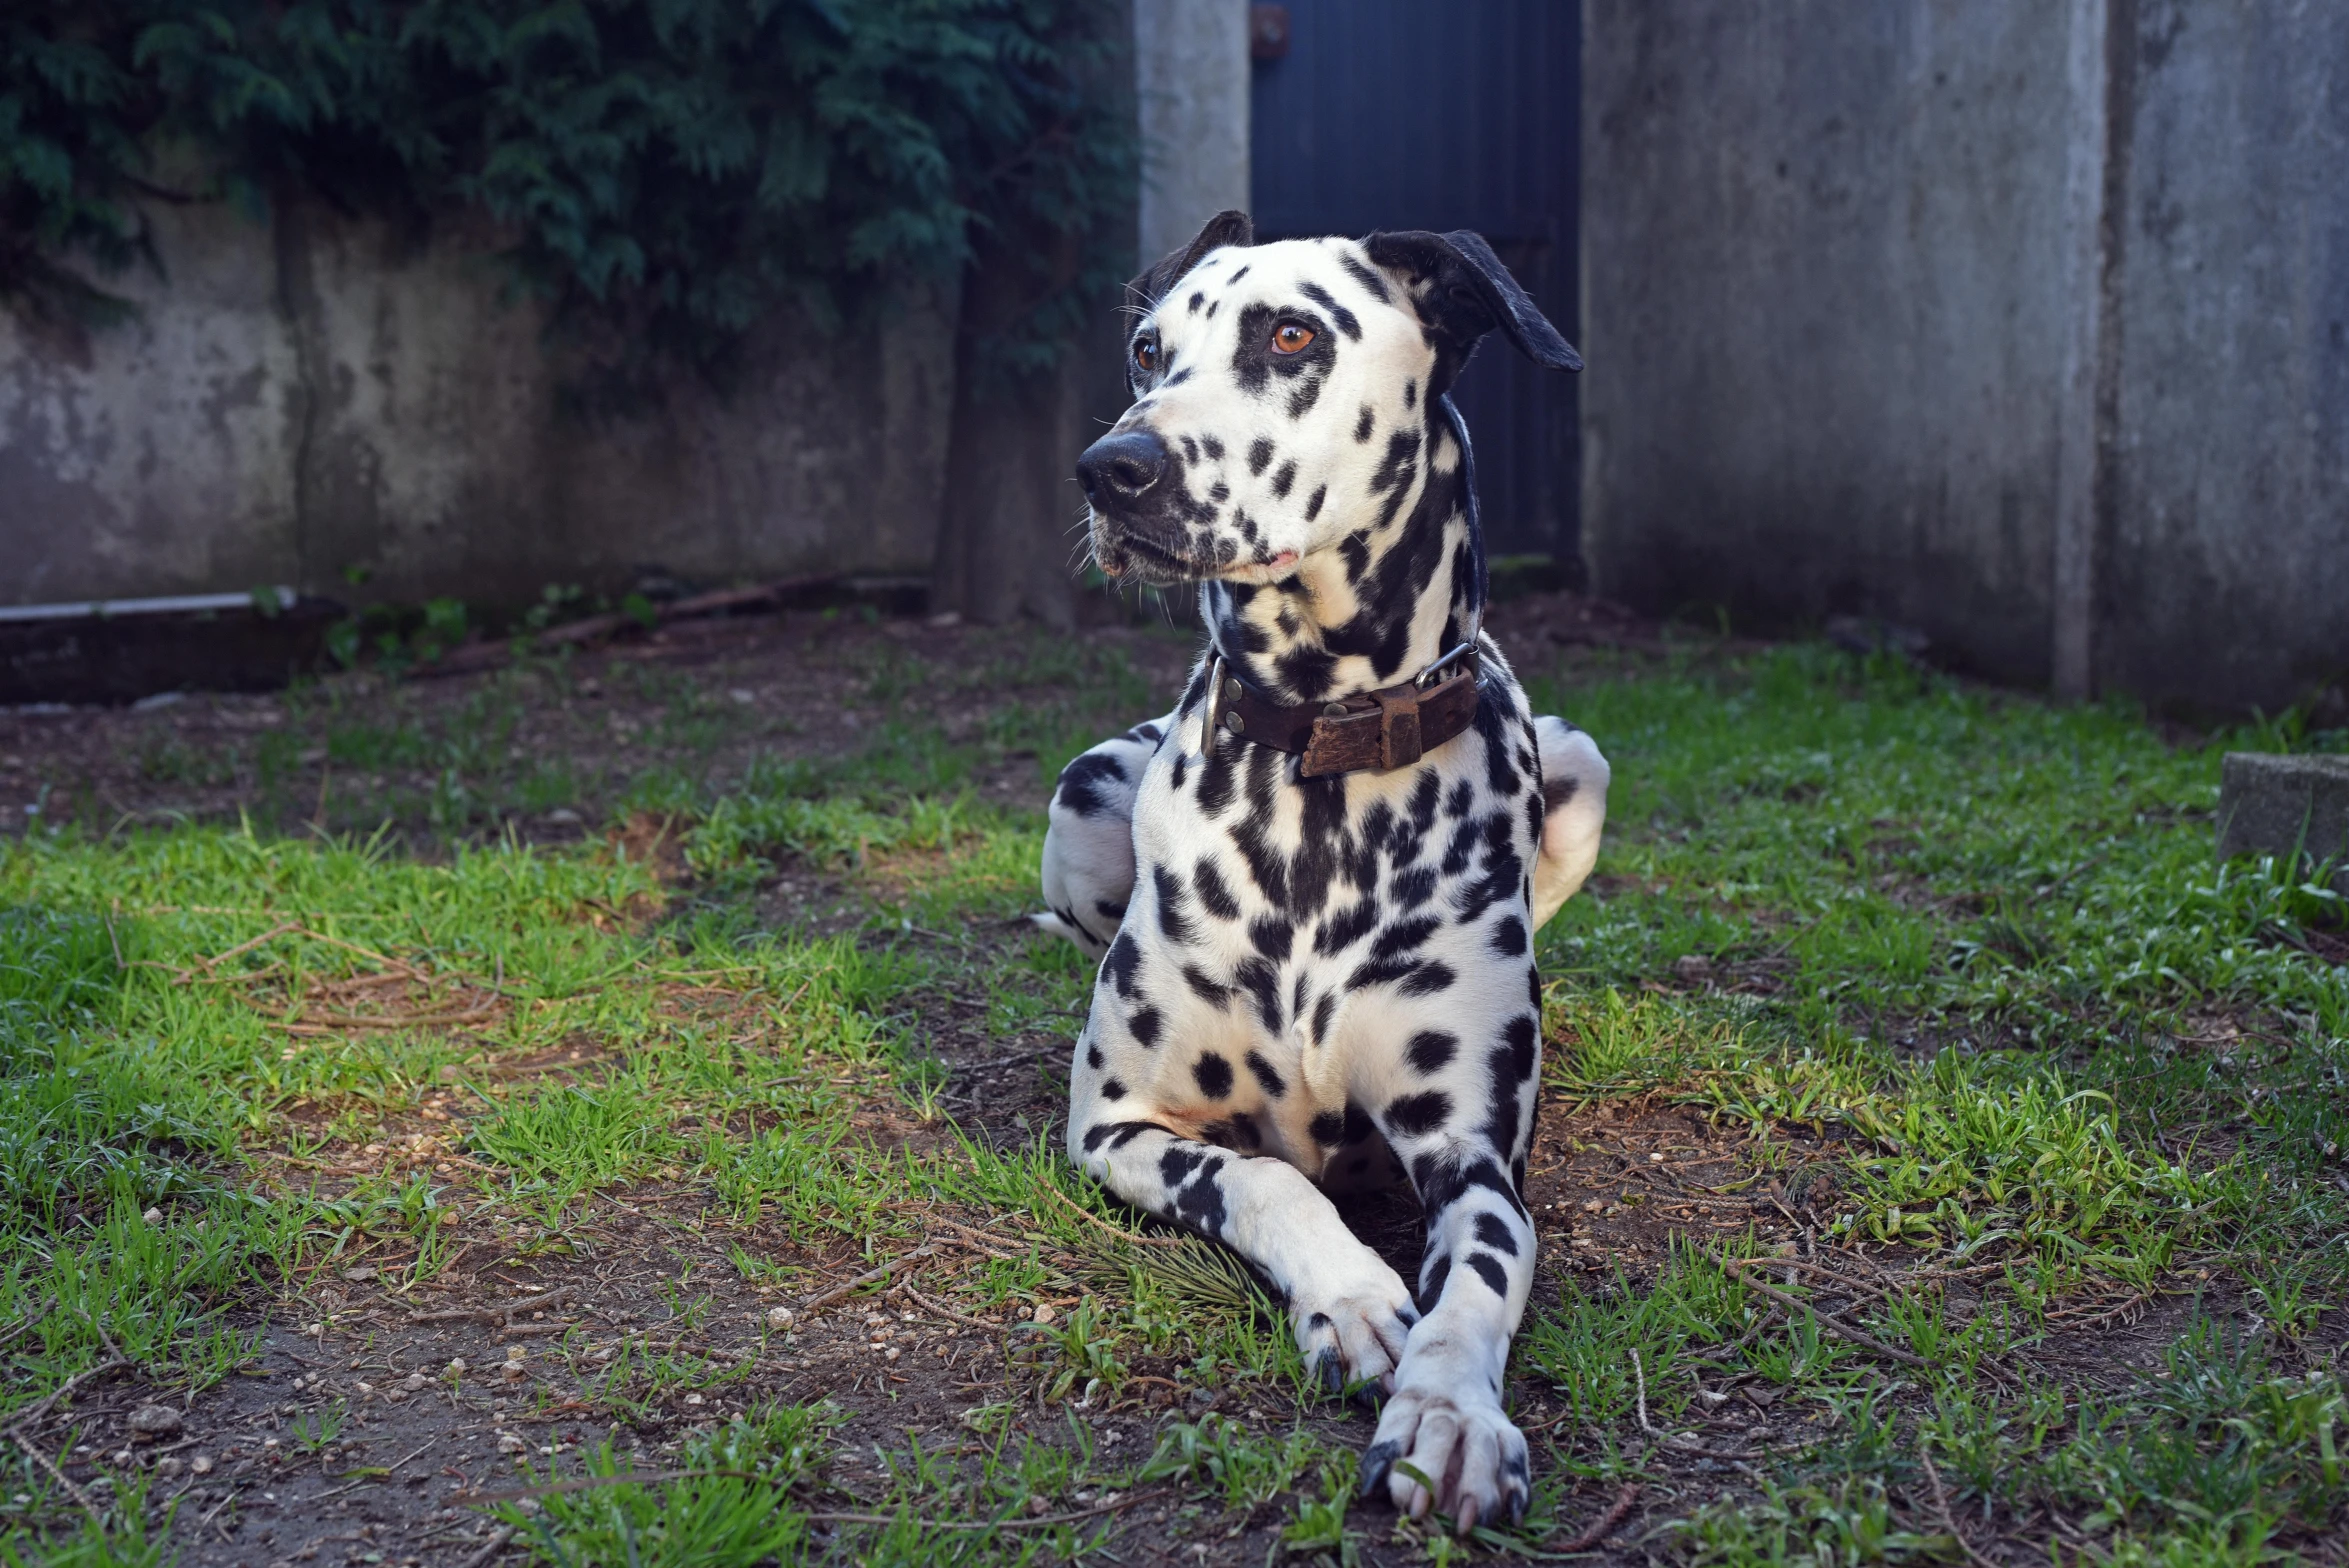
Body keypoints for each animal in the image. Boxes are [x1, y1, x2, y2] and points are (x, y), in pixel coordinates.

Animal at [1047, 211, 1616, 1530]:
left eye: (1292, 336)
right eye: (1147, 348)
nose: (1111, 466)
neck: (1322, 755)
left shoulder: (1478, 1163)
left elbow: (1480, 1283)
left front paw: (1450, 1412)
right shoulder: (1114, 1125)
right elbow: (1264, 1177)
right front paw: (1352, 1296)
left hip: (1581, 767)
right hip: (1080, 798)